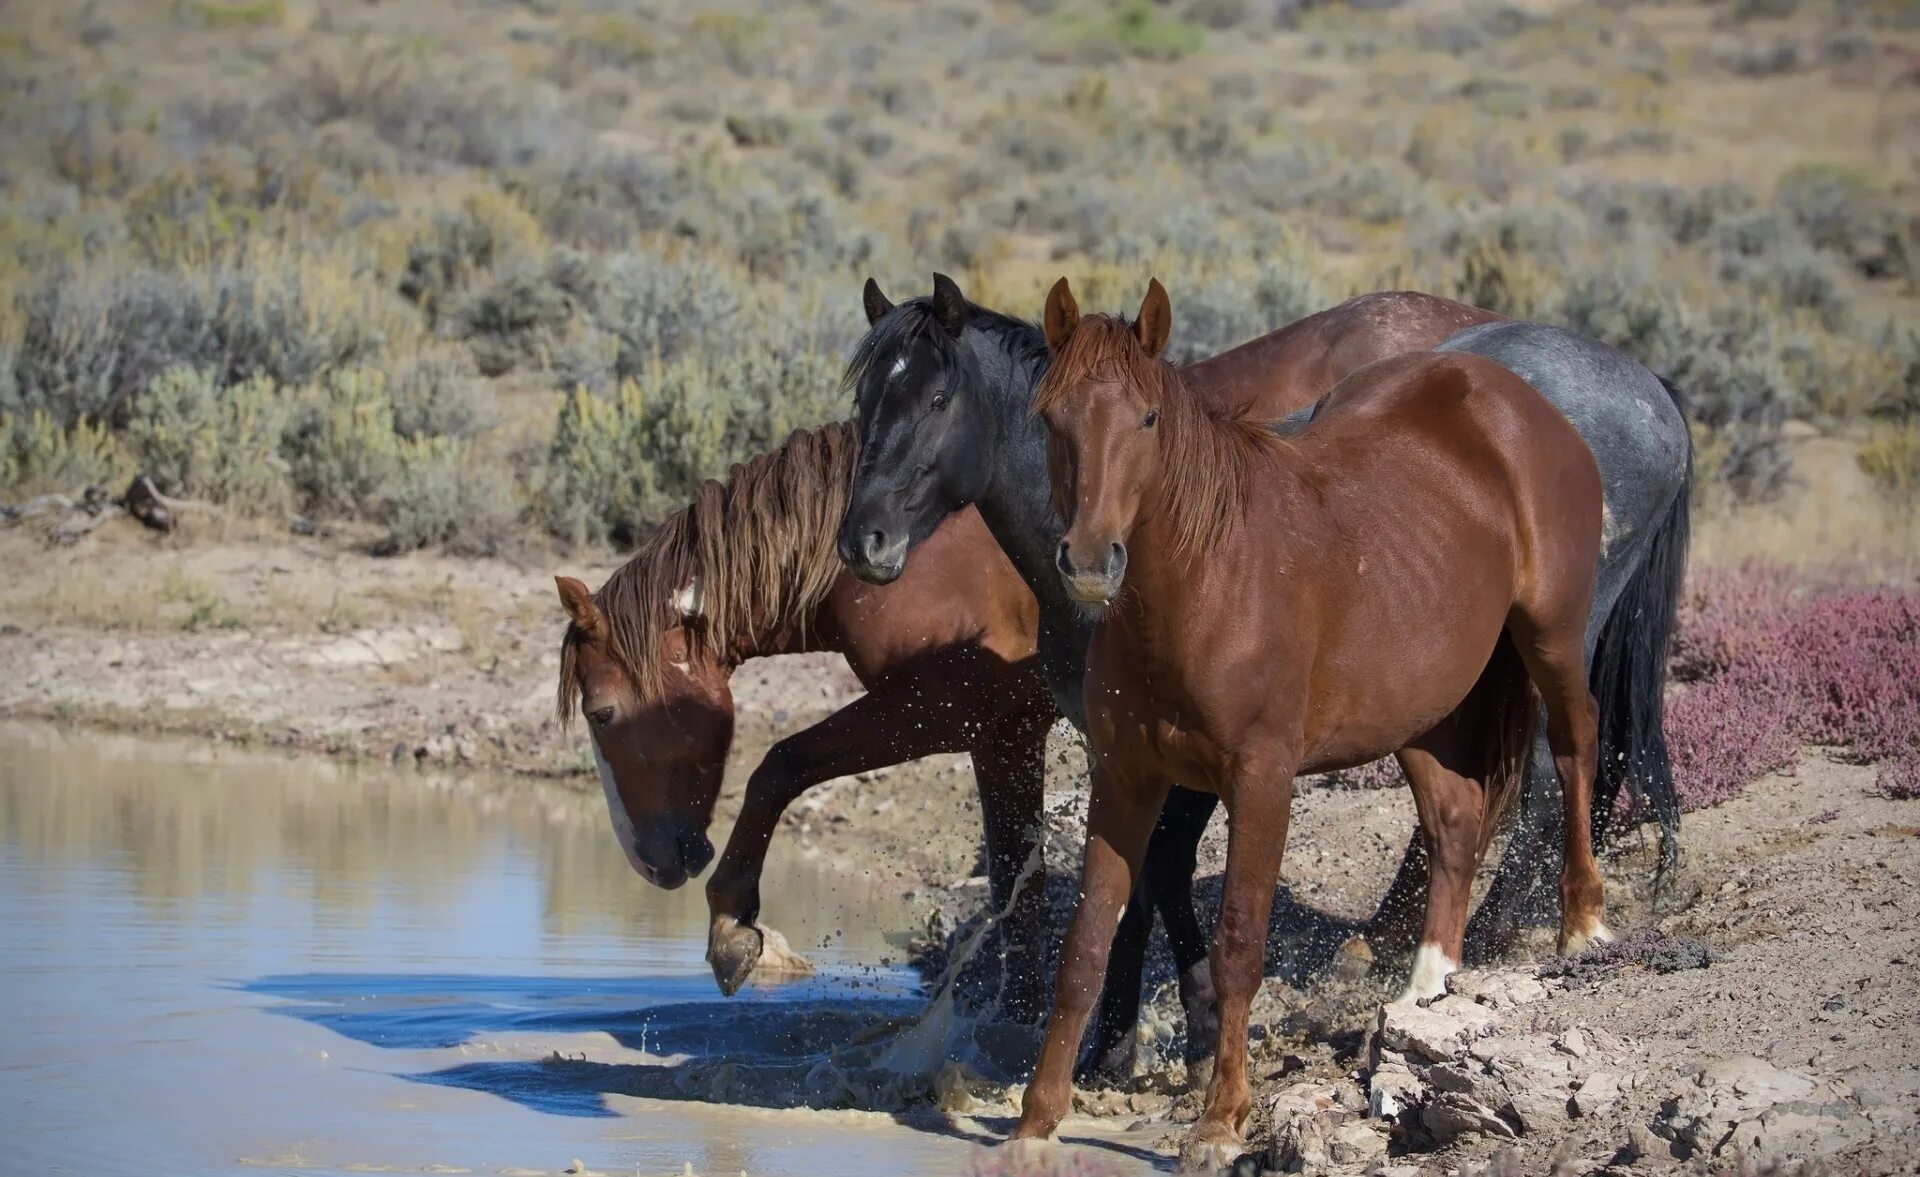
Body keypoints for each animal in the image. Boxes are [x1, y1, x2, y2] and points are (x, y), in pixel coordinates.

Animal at [556, 424, 1059, 1021]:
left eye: (601, 713)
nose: (644, 862)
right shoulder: (1005, 732)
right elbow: (1017, 888)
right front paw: (1016, 1026)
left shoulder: (945, 706)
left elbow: (779, 765)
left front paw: (729, 926)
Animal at [1013, 278, 1612, 1167]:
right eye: (1052, 418)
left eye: (1147, 419)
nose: (1090, 563)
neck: (1206, 583)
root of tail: (1521, 404)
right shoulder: (1126, 778)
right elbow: (1086, 943)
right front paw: (1036, 1119)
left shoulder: (1262, 779)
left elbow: (1238, 942)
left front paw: (1220, 1119)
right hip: (1417, 710)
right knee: (1456, 819)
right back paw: (1428, 992)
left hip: (1552, 636)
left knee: (1575, 747)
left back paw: (1583, 924)